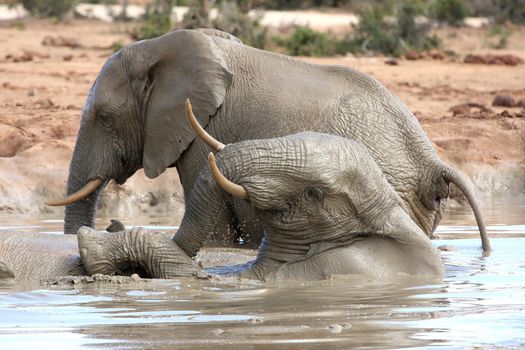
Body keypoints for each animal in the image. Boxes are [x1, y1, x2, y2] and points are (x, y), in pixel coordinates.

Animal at [47, 27, 490, 252]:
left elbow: (214, 230)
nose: (111, 225)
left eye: (105, 119)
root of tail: (432, 163)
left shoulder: (200, 135)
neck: (161, 48)